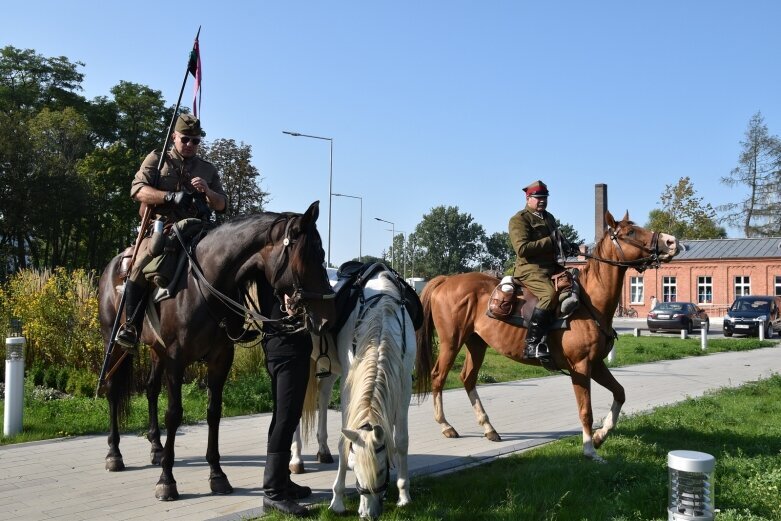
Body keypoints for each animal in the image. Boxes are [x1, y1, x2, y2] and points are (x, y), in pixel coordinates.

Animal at [97, 201, 332, 498]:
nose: (326, 317)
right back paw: (114, 453)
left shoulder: (220, 360)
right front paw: (166, 480)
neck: (205, 285)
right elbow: (174, 414)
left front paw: (217, 475)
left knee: (150, 389)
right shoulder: (176, 360)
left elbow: (214, 412)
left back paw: (156, 448)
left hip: (155, 351)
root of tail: (114, 265)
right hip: (114, 342)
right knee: (113, 390)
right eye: (310, 254)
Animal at [290, 266, 426, 516]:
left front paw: (404, 495)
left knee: (323, 393)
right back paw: (296, 459)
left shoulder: (403, 383)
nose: (367, 513)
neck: (383, 310)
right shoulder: (349, 384)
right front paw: (337, 500)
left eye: (381, 470)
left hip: (331, 367)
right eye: (354, 468)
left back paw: (323, 450)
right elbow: (344, 441)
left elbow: (401, 439)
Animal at [418, 210, 680, 460]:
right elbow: (586, 411)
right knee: (438, 376)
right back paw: (446, 425)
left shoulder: (596, 364)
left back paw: (488, 428)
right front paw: (589, 450)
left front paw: (600, 436)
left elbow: (620, 393)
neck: (589, 303)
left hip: (477, 344)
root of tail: (446, 280)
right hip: (452, 342)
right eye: (631, 232)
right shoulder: (580, 367)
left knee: (468, 378)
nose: (671, 241)